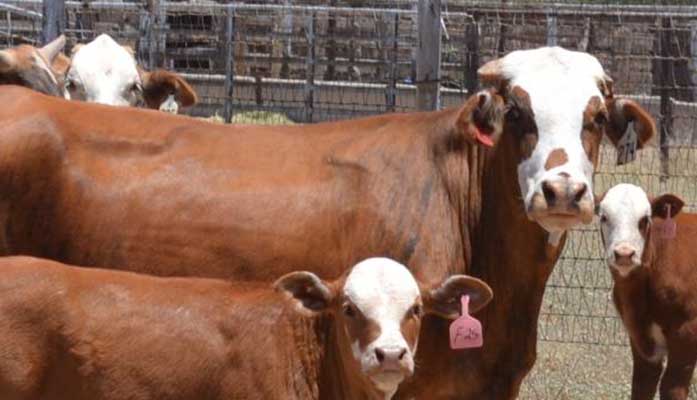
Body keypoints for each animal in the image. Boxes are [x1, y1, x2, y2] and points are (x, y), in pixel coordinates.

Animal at [596, 183, 695, 400]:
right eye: (604, 217)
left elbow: (672, 388)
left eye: (644, 219)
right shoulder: (639, 337)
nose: (624, 254)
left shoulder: (687, 332)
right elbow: (642, 385)